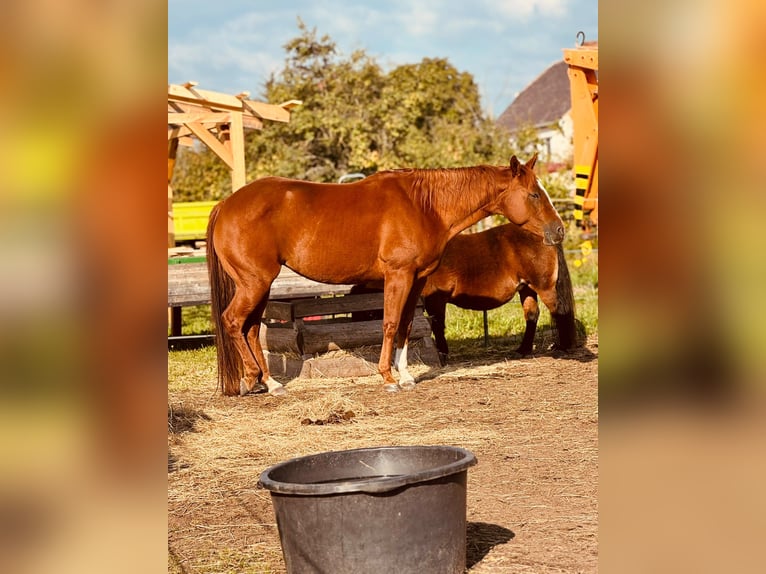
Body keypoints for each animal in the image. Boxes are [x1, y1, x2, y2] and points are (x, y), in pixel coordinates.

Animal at [420, 222, 576, 364]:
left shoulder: (435, 299)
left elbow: (438, 326)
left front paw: (442, 355)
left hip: (544, 288)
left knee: (559, 310)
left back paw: (563, 347)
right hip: (527, 288)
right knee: (532, 314)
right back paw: (523, 350)